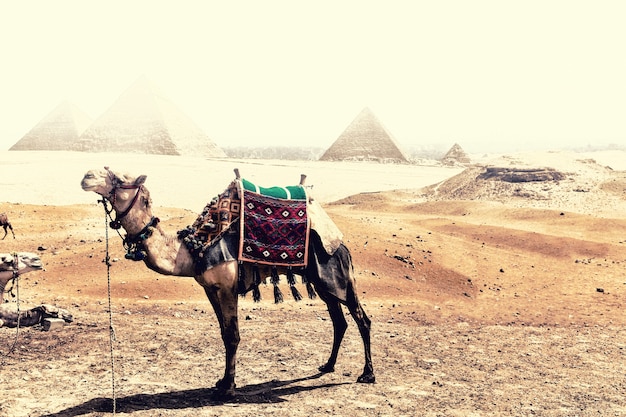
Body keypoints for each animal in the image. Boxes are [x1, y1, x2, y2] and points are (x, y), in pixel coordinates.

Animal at [78, 167, 370, 398]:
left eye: (118, 177)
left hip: (339, 275)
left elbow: (232, 335)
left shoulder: (228, 287)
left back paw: (367, 374)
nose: (87, 176)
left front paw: (228, 386)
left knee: (361, 319)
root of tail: (341, 243)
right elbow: (222, 333)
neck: (192, 248)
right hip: (324, 283)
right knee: (339, 321)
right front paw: (221, 381)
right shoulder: (210, 289)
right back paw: (327, 366)